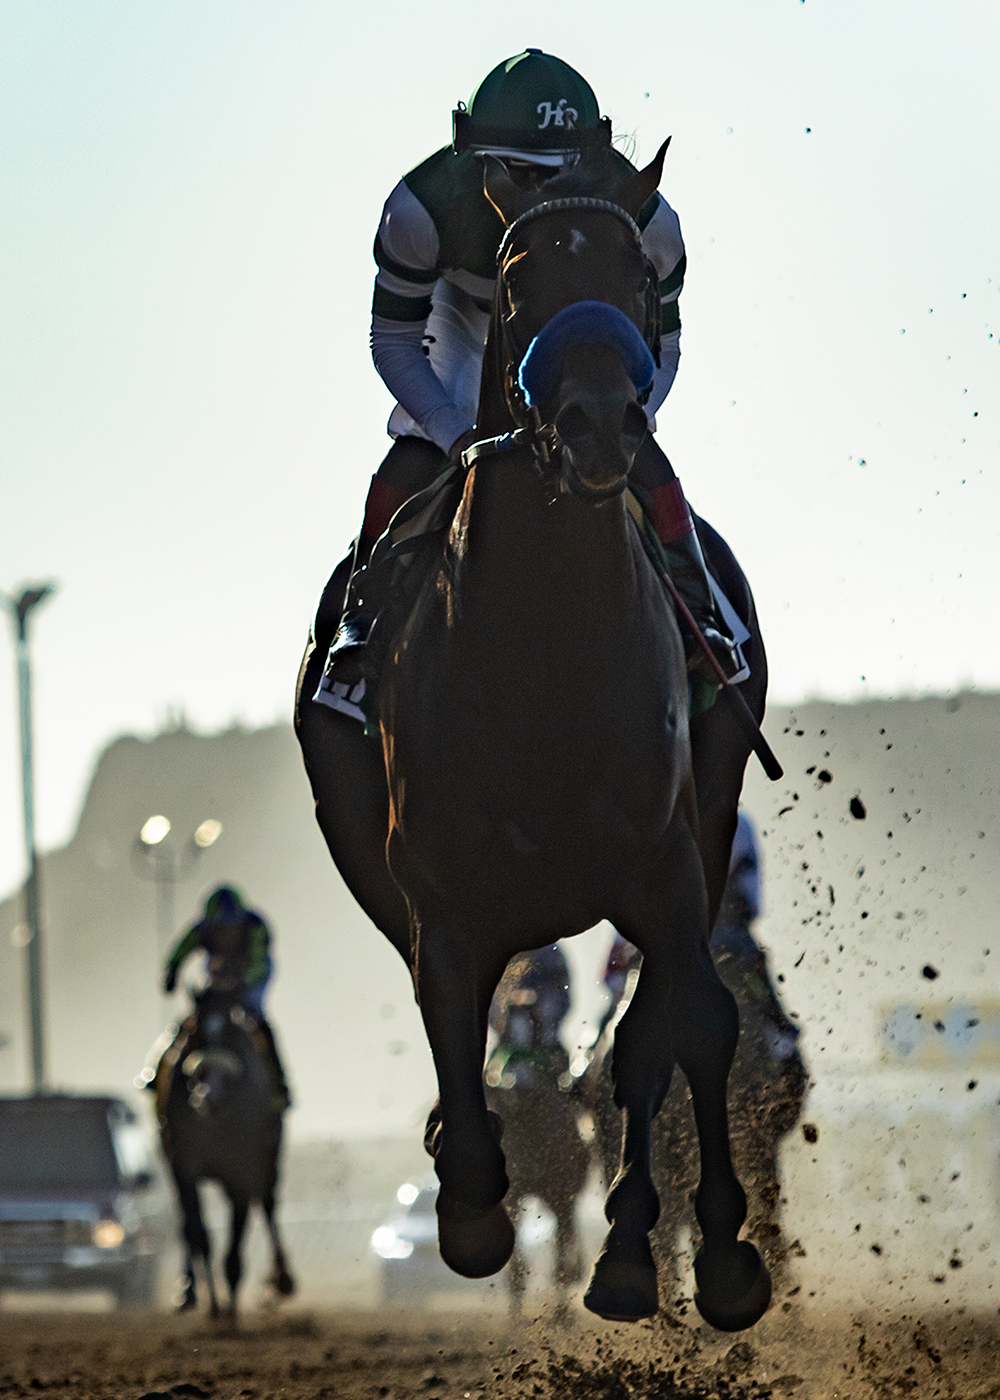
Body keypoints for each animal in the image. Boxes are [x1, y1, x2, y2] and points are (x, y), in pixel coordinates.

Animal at [156, 985, 292, 1310]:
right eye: (193, 1031)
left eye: (233, 1032)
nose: (207, 1097)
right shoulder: (183, 1165)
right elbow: (198, 1233)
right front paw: (213, 1305)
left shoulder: (243, 1169)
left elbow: (234, 1249)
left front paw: (230, 1310)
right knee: (185, 1225)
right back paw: (189, 1290)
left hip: (270, 1158)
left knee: (268, 1203)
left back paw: (281, 1280)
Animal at [295, 144, 773, 1332]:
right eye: (516, 276)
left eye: (638, 276)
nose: (601, 421)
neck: (549, 646)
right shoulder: (438, 893)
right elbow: (455, 1042)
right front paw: (466, 1201)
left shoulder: (667, 859)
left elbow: (684, 1026)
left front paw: (713, 1250)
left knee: (662, 1034)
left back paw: (648, 1249)